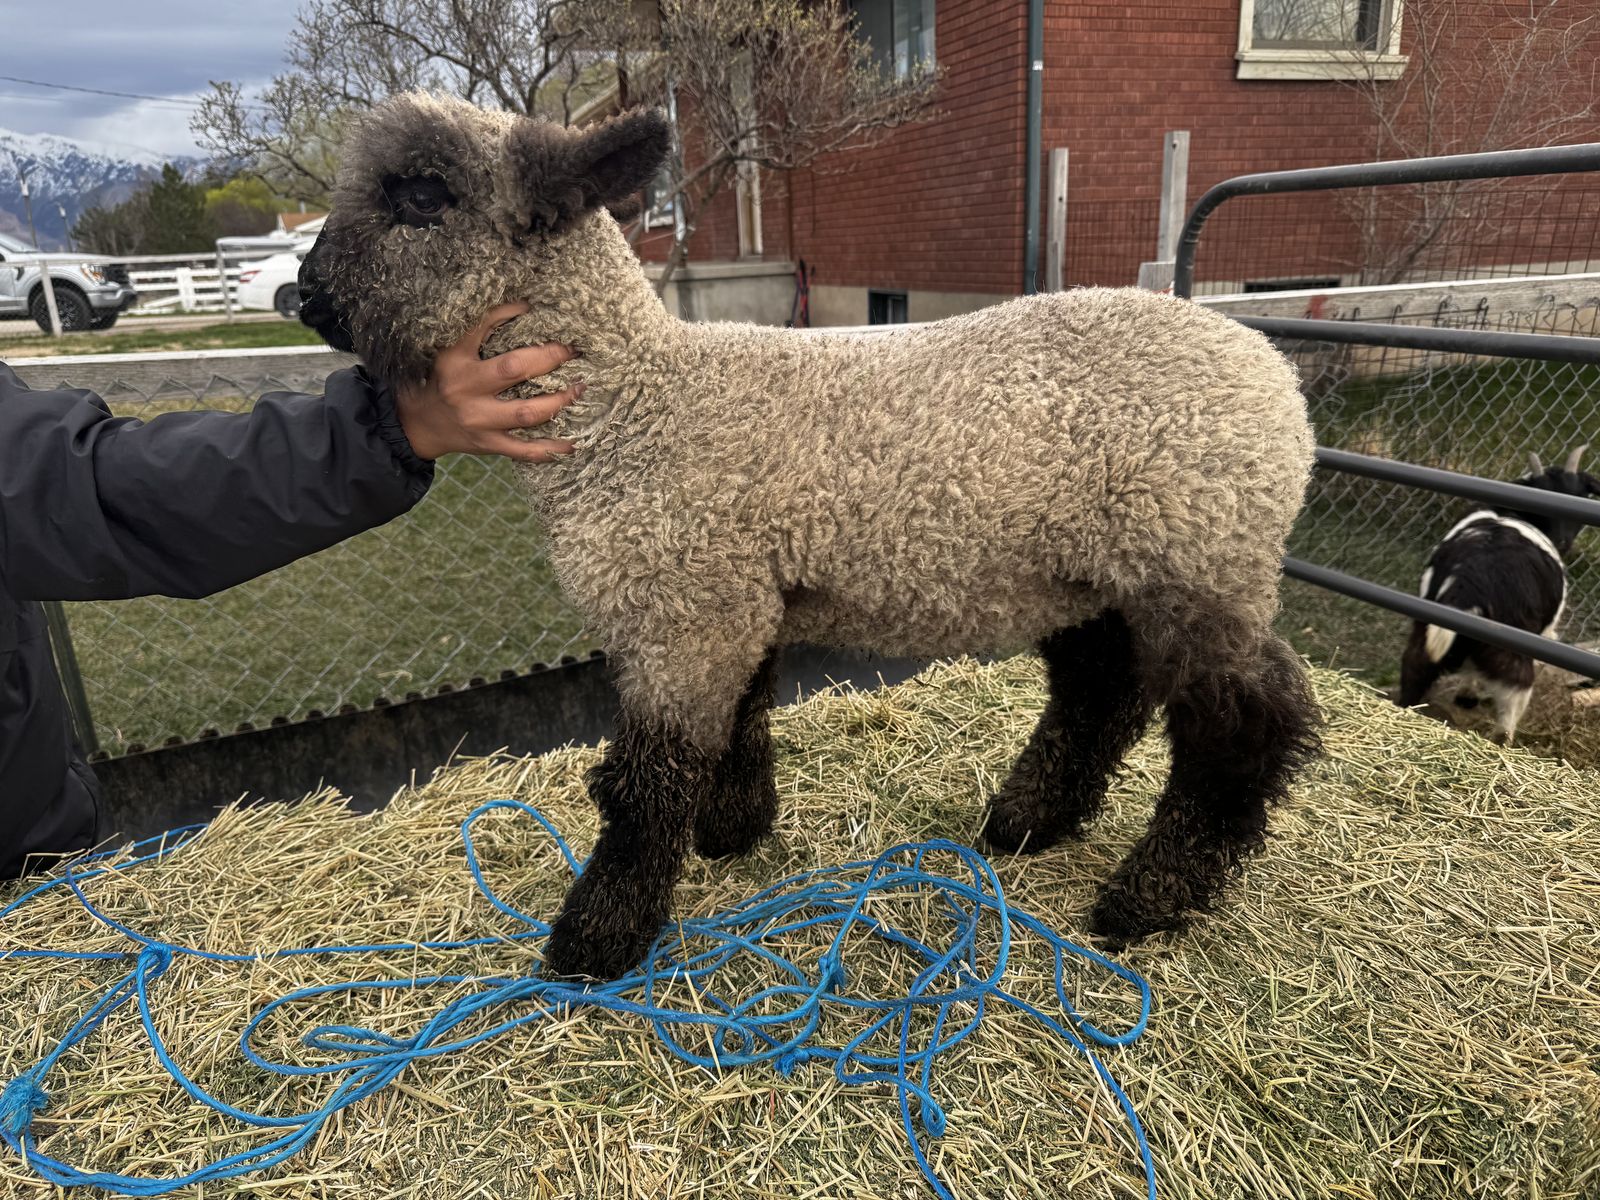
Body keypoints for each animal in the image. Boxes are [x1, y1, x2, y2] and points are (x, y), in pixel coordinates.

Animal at [298, 93, 1322, 982]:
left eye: (422, 197)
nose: (303, 295)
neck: (632, 409)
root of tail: (1273, 372)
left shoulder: (681, 613)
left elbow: (645, 781)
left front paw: (598, 938)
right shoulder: (734, 595)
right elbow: (740, 720)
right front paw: (734, 832)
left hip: (1196, 554)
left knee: (1242, 722)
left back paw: (1148, 899)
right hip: (1093, 571)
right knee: (1101, 690)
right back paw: (1028, 823)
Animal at [1398, 444, 1599, 743]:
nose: (1565, 542)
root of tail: (1467, 587)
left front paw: (1466, 695)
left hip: (1425, 632)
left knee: (1413, 671)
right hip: (1511, 649)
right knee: (1510, 707)